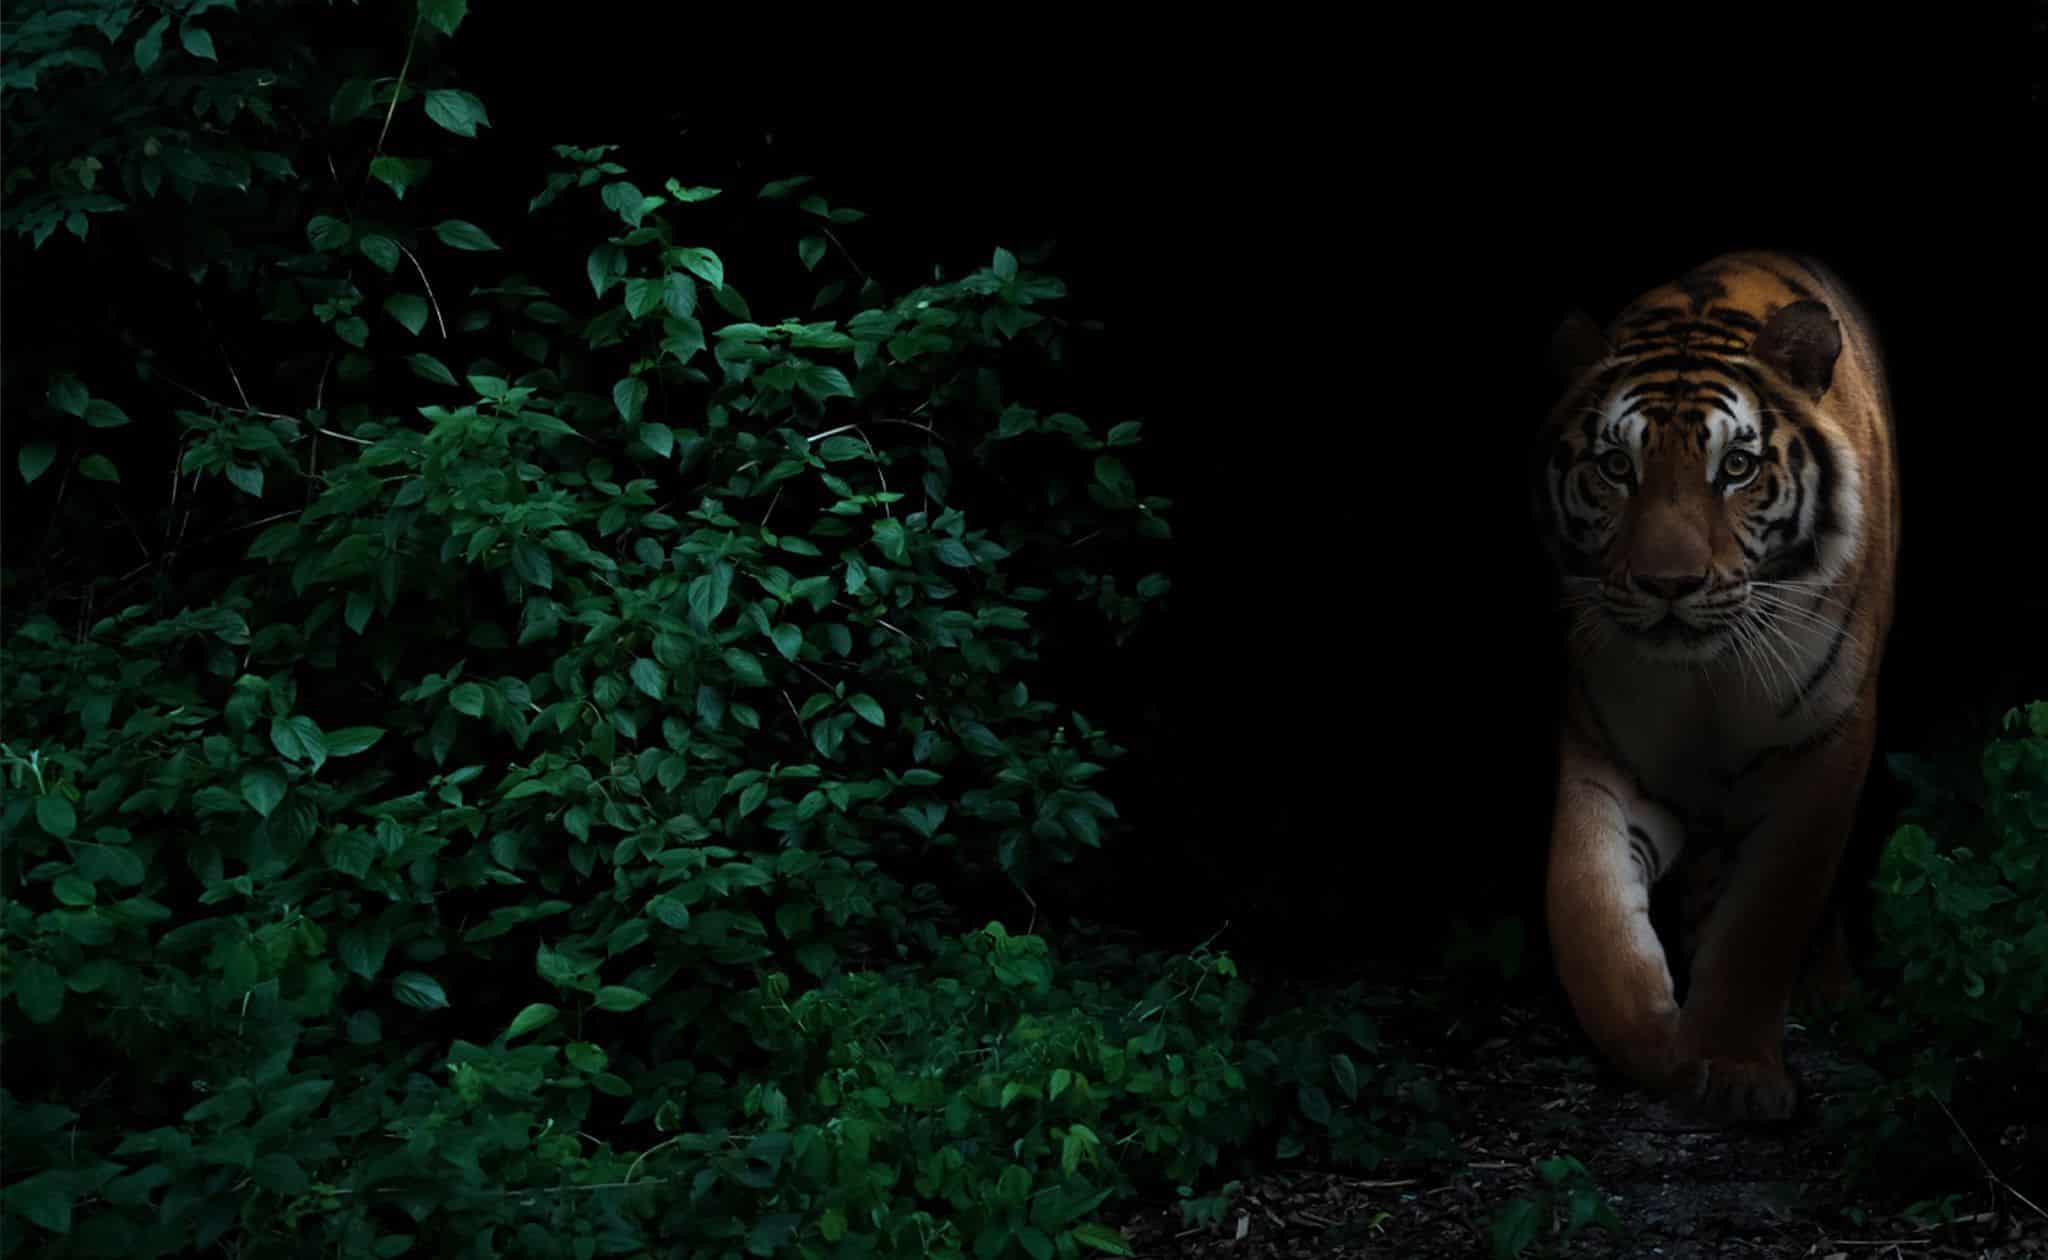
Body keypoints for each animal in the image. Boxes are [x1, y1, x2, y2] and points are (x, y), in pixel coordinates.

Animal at [1531, 251, 1900, 1122]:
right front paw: (1660, 1048)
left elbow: (1764, 920)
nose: (1669, 584)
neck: (1705, 684)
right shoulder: (1603, 756)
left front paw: (1734, 1068)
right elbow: (1588, 919)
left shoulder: (1822, 753)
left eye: (1735, 467)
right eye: (1616, 467)